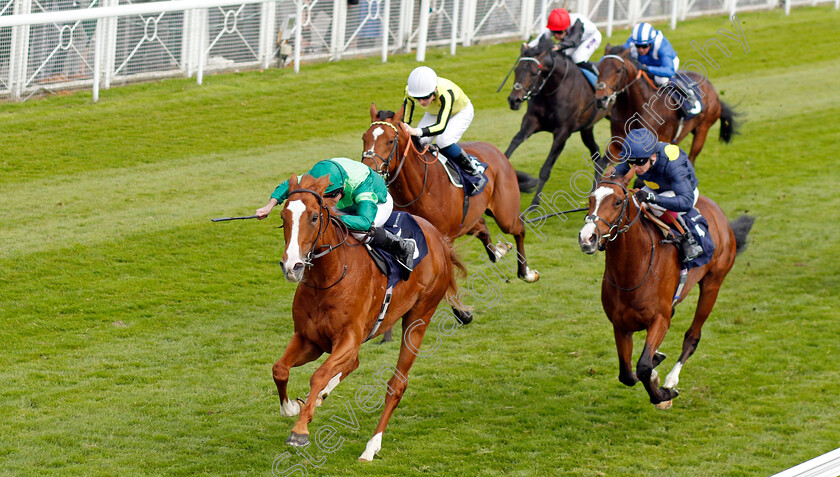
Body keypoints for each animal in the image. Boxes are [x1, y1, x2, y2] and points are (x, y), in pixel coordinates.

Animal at [270, 173, 472, 460]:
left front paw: (299, 431)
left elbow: (318, 375)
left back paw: (371, 446)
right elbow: (280, 368)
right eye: (283, 216)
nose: (292, 266)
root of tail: (439, 239)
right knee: (352, 364)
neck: (329, 277)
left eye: (313, 217)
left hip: (419, 318)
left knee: (397, 384)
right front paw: (291, 407)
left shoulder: (348, 339)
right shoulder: (310, 339)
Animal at [360, 103, 540, 282]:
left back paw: (527, 273)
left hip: (505, 216)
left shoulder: (445, 240)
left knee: (519, 228)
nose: (368, 171)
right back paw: (500, 251)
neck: (420, 189)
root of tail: (497, 151)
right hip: (469, 219)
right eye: (364, 138)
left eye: (390, 141)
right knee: (483, 228)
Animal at [506, 36, 612, 207]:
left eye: (534, 73)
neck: (553, 89)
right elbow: (512, 146)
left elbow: (545, 169)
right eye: (516, 70)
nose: (514, 100)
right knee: (596, 153)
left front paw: (534, 204)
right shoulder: (531, 122)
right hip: (586, 128)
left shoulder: (562, 133)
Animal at [576, 173, 756, 408]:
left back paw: (671, 379)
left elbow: (643, 366)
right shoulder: (620, 324)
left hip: (713, 284)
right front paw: (655, 366)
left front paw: (663, 395)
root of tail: (719, 213)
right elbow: (627, 374)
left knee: (692, 336)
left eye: (617, 202)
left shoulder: (660, 319)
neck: (634, 268)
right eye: (590, 199)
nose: (587, 238)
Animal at [592, 45, 740, 164]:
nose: (601, 99)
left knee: (692, 158)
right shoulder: (618, 145)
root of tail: (712, 90)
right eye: (599, 70)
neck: (636, 108)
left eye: (618, 70)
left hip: (702, 130)